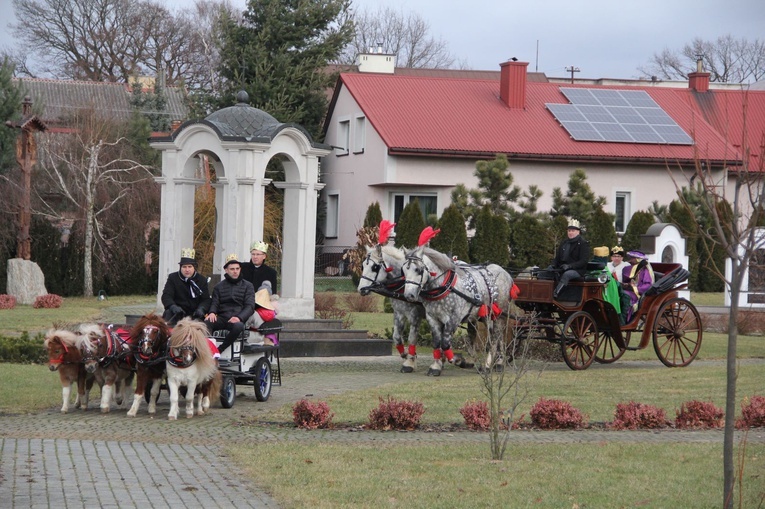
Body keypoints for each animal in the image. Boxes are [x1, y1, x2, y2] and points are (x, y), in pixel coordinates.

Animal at [356, 244, 426, 372]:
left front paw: (410, 362)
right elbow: (397, 337)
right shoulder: (399, 313)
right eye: (362, 266)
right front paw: (407, 355)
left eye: (375, 267)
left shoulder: (415, 316)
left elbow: (412, 338)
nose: (361, 289)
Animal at [400, 244, 512, 376]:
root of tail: (505, 273)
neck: (445, 286)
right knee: (493, 337)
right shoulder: (433, 318)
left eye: (418, 270)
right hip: (485, 316)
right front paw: (436, 366)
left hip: (499, 315)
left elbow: (445, 344)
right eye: (404, 271)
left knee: (494, 338)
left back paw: (488, 365)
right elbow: (437, 342)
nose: (409, 295)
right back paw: (497, 363)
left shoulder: (454, 318)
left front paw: (458, 360)